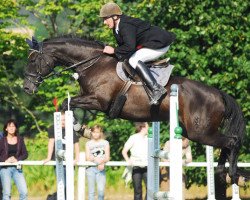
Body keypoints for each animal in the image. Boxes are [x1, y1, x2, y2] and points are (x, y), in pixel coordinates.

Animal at [23, 35, 248, 184]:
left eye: (33, 60)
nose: (27, 88)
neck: (93, 64)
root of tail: (218, 94)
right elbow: (66, 104)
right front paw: (83, 129)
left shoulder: (98, 101)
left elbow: (65, 104)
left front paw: (81, 129)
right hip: (196, 131)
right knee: (228, 143)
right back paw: (223, 173)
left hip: (199, 132)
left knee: (232, 141)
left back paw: (232, 173)